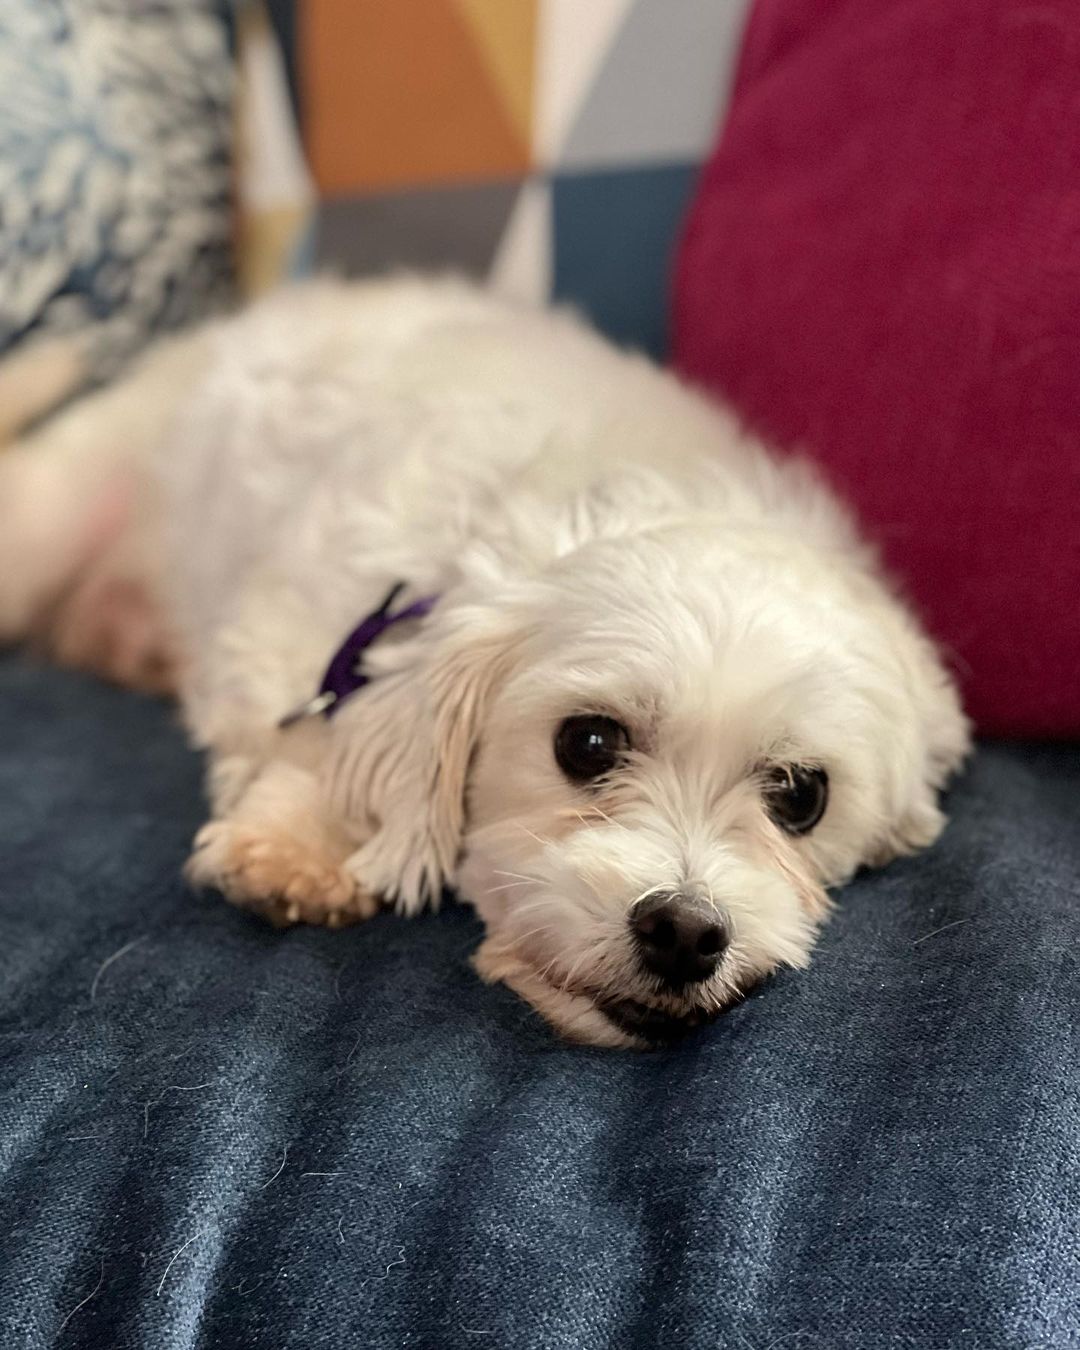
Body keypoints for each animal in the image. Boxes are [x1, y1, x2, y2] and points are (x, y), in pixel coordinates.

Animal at [0, 279, 961, 1047]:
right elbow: (310, 733)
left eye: (802, 796)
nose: (686, 933)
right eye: (587, 743)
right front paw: (298, 843)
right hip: (44, 526)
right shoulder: (296, 614)